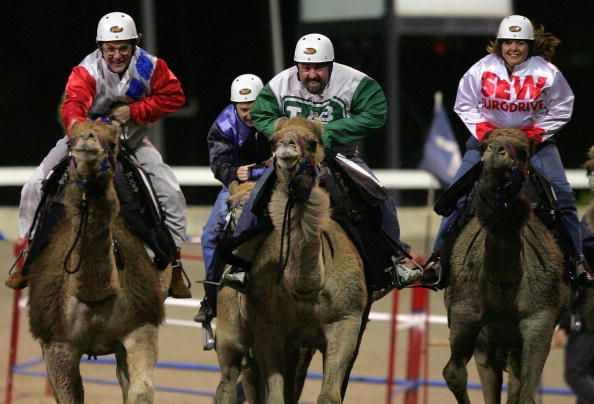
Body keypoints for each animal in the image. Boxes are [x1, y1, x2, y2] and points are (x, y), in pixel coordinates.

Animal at [26, 120, 170, 404]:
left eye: (112, 143)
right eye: (70, 141)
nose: (87, 143)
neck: (94, 295)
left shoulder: (142, 326)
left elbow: (140, 391)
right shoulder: (57, 345)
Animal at [242, 117, 366, 404]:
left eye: (312, 142)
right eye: (272, 141)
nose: (286, 149)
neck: (305, 289)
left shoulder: (346, 320)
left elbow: (330, 395)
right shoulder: (268, 327)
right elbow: (276, 397)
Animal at [442, 129, 568, 404]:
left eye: (522, 151)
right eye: (485, 145)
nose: (496, 151)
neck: (503, 281)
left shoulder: (539, 320)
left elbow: (527, 393)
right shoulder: (465, 315)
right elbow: (453, 374)